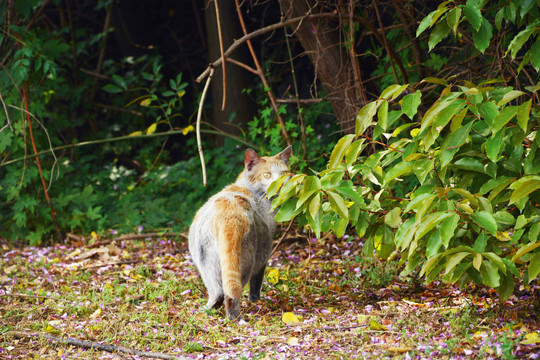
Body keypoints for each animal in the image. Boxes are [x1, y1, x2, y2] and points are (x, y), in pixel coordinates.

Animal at [188, 145, 294, 320]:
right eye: (267, 175)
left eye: (284, 173)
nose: (279, 185)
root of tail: (230, 215)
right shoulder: (263, 257)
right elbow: (256, 283)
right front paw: (255, 301)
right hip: (247, 261)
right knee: (231, 295)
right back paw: (236, 319)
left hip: (204, 260)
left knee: (217, 291)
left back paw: (208, 310)